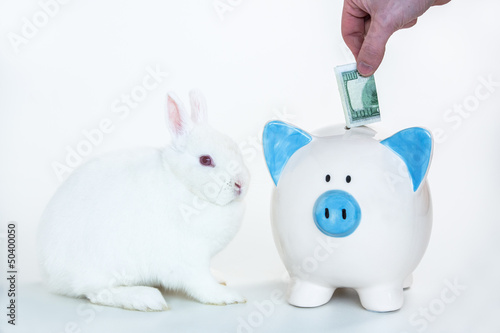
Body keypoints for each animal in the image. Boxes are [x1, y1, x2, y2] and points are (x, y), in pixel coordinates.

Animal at [36, 89, 250, 310]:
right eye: (205, 160)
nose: (241, 184)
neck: (183, 184)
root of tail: (49, 274)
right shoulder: (188, 260)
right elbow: (201, 284)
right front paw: (227, 296)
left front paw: (219, 280)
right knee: (97, 293)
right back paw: (146, 298)